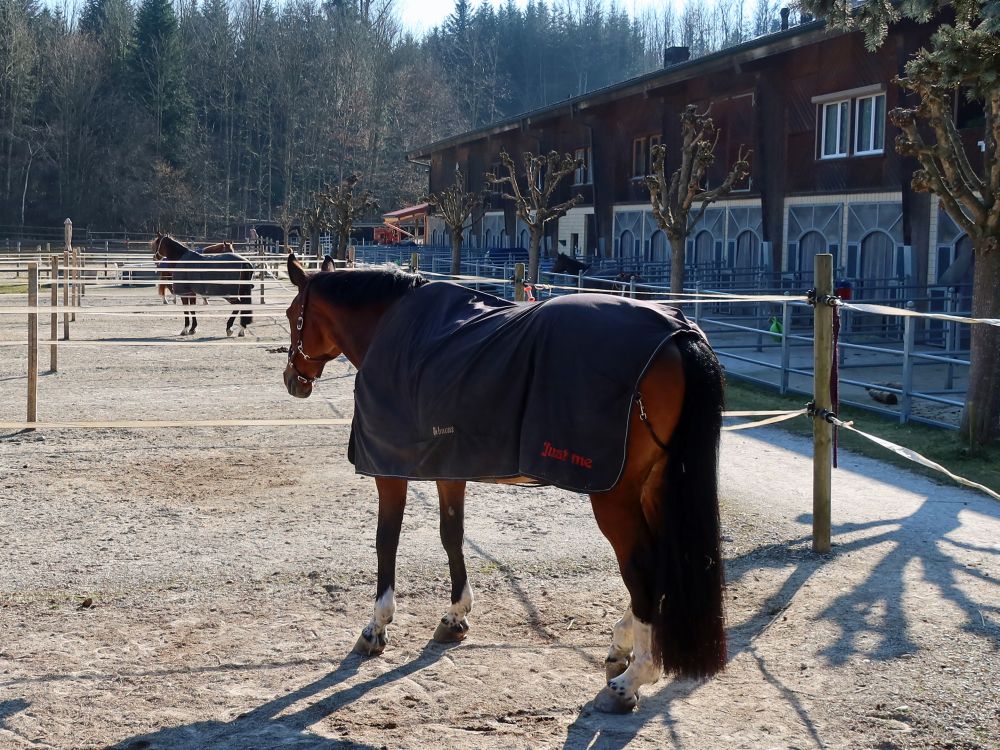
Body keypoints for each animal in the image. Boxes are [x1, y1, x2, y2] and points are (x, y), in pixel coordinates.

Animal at [282, 254, 728, 716]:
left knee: (642, 567)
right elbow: (452, 535)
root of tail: (677, 335)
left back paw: (633, 678)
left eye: (293, 315)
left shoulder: (390, 471)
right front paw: (455, 616)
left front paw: (376, 627)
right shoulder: (449, 467)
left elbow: (386, 540)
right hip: (654, 486)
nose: (293, 379)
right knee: (662, 563)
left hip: (615, 497)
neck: (398, 329)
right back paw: (622, 646)